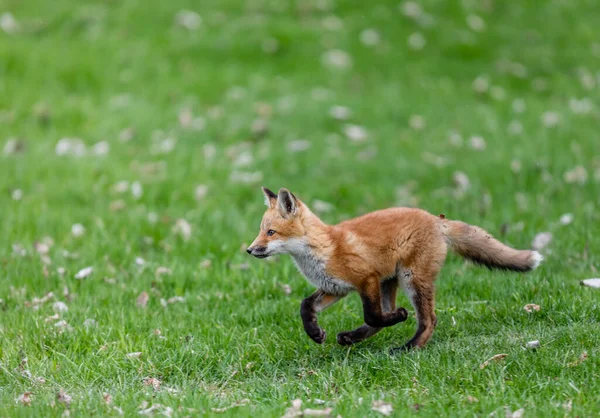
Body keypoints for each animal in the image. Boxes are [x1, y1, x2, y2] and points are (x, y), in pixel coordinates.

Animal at [247, 188, 544, 352]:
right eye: (261, 231)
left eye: (271, 232)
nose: (250, 250)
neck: (324, 248)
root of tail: (436, 219)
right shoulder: (335, 288)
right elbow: (305, 305)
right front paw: (314, 332)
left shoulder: (366, 278)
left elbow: (372, 313)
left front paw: (400, 317)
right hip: (389, 281)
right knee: (382, 319)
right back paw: (353, 337)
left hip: (411, 279)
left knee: (428, 320)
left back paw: (409, 348)